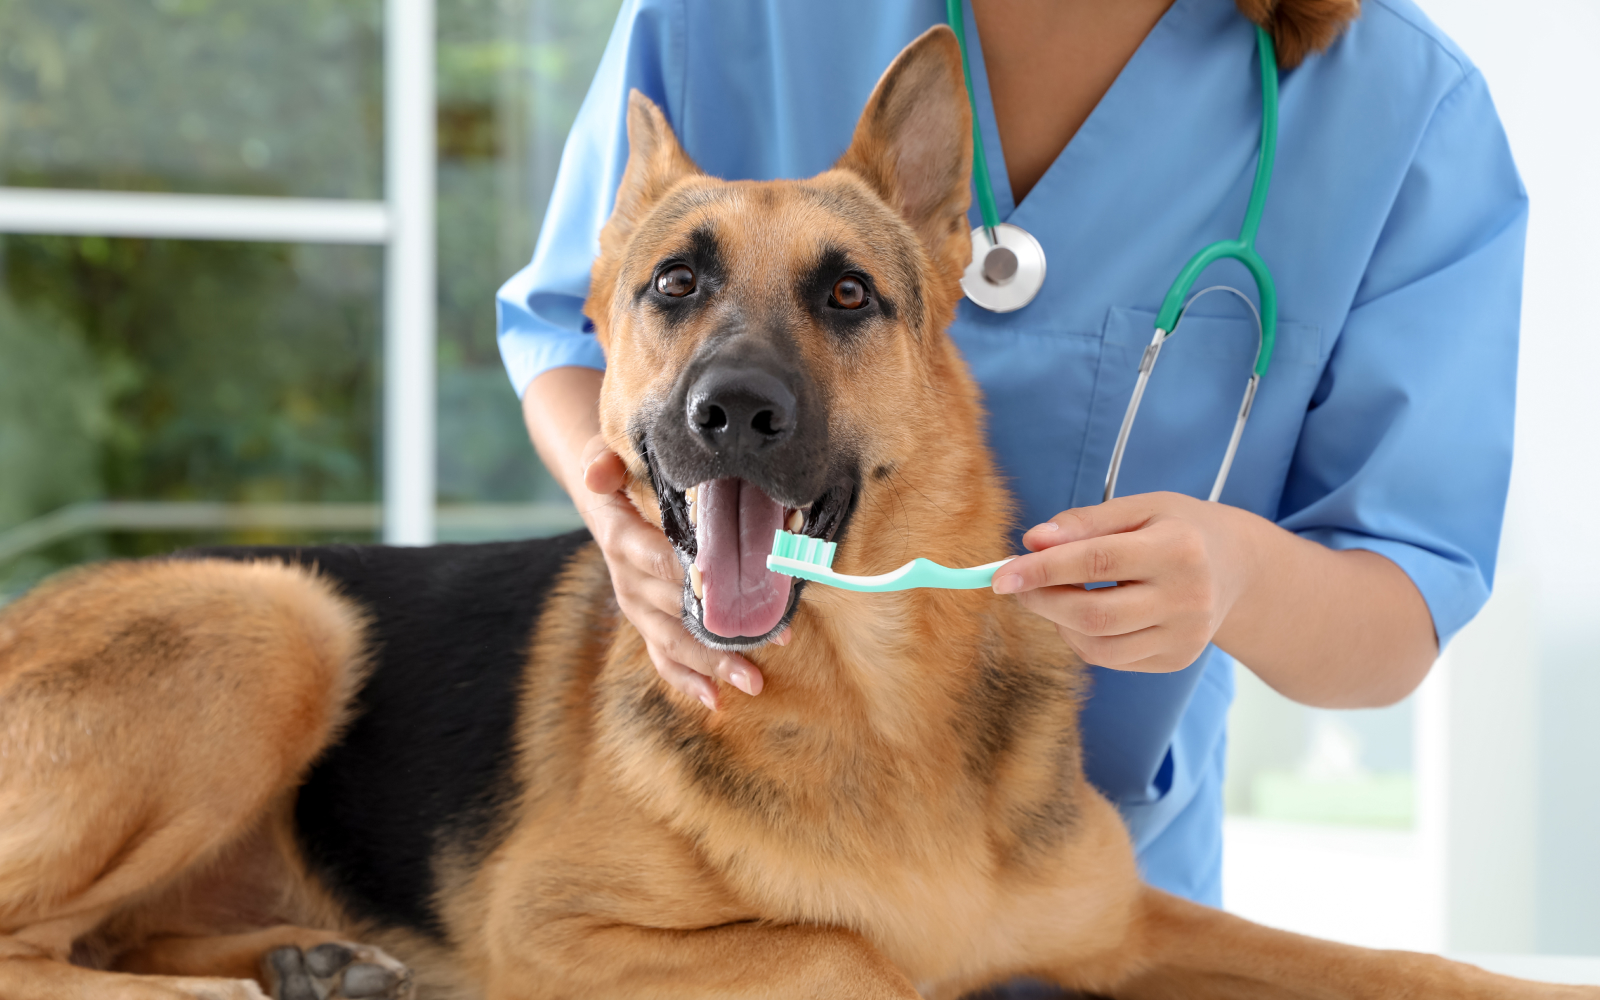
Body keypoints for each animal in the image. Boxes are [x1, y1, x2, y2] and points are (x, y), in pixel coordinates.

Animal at [0, 27, 1587, 998]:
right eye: (674, 283)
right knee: (44, 953)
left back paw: (304, 958)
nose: (735, 414)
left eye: (847, 295)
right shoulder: (561, 934)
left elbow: (1405, 964)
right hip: (279, 614)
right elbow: (858, 955)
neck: (877, 700)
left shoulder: (1128, 922)